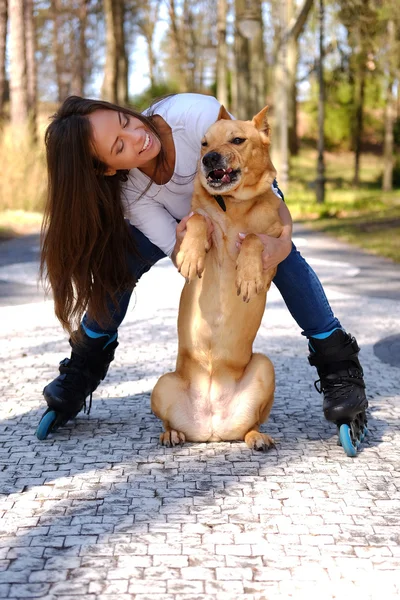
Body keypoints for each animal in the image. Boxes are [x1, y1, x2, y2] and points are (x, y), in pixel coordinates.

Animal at [151, 105, 284, 450]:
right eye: (204, 143)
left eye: (237, 140)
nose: (209, 158)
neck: (233, 205)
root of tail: (211, 427)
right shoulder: (196, 222)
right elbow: (199, 220)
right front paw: (190, 255)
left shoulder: (274, 254)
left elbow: (253, 239)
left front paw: (247, 277)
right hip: (162, 384)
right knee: (168, 422)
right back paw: (172, 434)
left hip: (265, 366)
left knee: (250, 425)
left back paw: (258, 438)